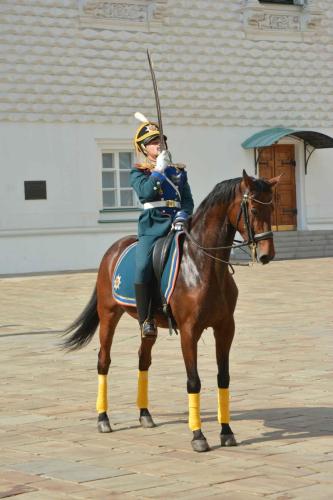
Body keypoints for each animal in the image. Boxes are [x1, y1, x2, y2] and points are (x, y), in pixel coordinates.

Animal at [62, 171, 278, 454]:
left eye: (272, 208)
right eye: (252, 208)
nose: (267, 254)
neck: (204, 265)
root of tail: (114, 248)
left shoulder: (225, 329)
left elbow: (224, 378)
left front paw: (226, 431)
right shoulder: (189, 331)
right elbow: (193, 381)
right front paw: (198, 435)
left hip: (147, 323)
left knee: (143, 359)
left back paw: (144, 414)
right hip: (109, 314)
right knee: (103, 361)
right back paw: (103, 418)